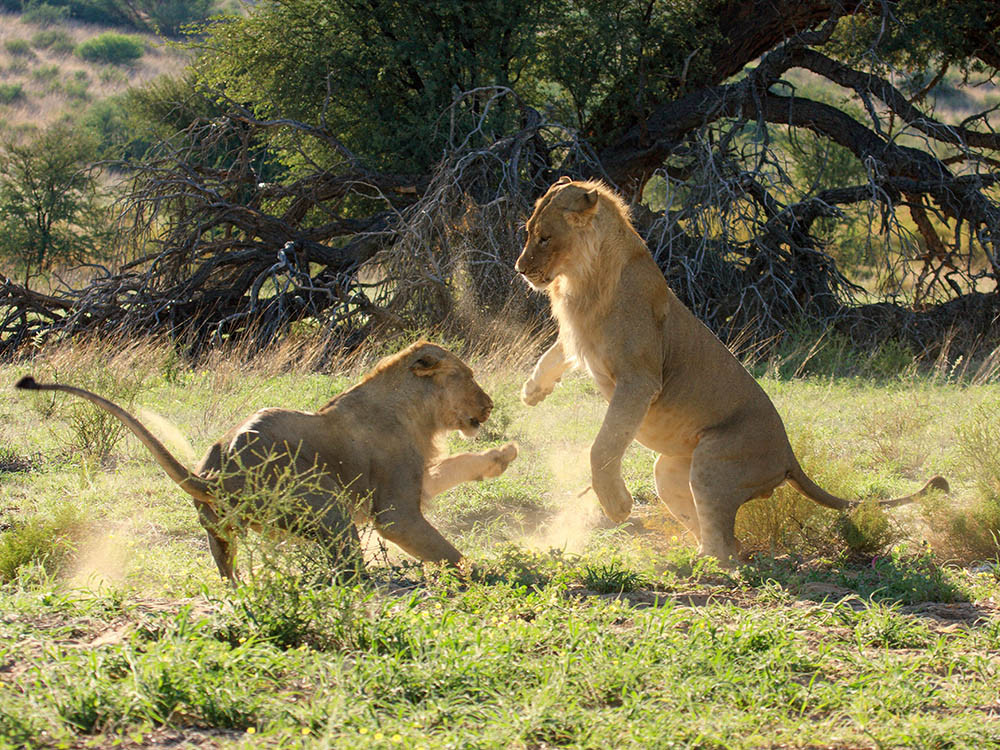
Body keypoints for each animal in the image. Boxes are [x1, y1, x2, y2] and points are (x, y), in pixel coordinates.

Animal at [17, 344, 516, 584]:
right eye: (468, 376)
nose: (490, 404)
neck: (418, 410)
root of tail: (216, 474)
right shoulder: (395, 508)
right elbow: (444, 549)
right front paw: (483, 571)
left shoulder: (417, 477)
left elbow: (457, 465)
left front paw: (502, 456)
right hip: (326, 505)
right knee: (348, 570)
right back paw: (386, 580)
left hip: (219, 528)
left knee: (227, 567)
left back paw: (238, 590)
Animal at [516, 176, 944, 564]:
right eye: (529, 232)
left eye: (544, 237)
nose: (520, 269)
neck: (582, 275)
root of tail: (789, 456)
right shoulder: (579, 336)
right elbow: (553, 354)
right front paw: (532, 391)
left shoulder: (639, 379)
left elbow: (604, 444)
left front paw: (617, 504)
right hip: (671, 471)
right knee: (724, 538)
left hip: (713, 462)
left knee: (726, 550)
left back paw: (698, 566)